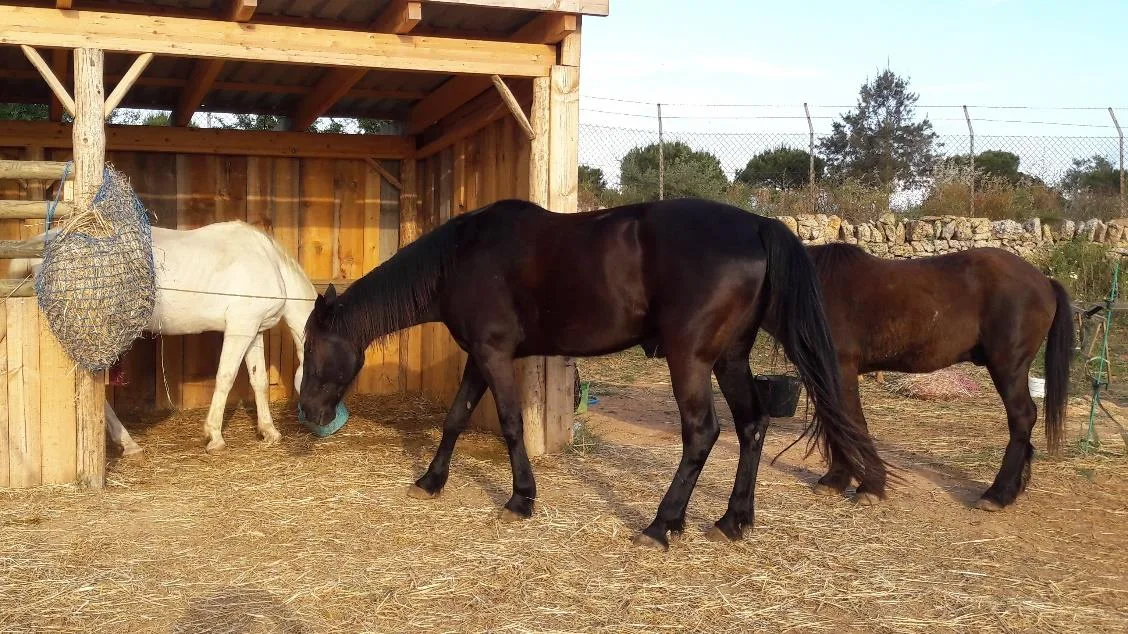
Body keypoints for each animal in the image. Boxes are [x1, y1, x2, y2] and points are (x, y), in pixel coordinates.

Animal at [9, 221, 316, 455]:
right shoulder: (240, 328)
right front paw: (214, 436)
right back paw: (127, 442)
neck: (270, 262)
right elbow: (226, 378)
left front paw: (269, 431)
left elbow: (259, 381)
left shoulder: (253, 329)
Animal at [298, 197, 887, 550]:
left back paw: (661, 524)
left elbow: (509, 424)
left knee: (703, 434)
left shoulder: (494, 356)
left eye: (312, 346)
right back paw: (733, 519)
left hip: (690, 361)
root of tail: (760, 225)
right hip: (730, 359)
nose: (308, 412)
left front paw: (521, 498)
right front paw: (431, 480)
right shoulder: (478, 358)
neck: (463, 257)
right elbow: (455, 417)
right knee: (752, 427)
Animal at [642, 242, 1074, 511]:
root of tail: (1044, 281)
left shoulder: (842, 370)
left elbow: (852, 423)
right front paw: (837, 479)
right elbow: (838, 425)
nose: (658, 342)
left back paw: (998, 494)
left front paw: (870, 486)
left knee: (1022, 418)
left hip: (1008, 367)